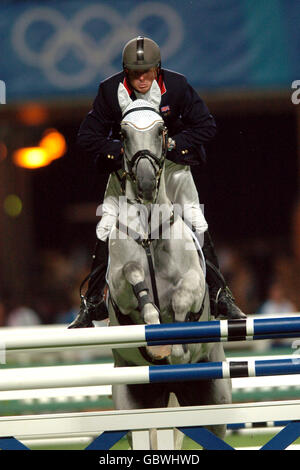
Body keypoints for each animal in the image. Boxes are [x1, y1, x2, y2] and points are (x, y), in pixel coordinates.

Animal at [104, 80, 231, 448]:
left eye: (161, 130)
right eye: (122, 132)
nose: (146, 183)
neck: (150, 227)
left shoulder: (193, 282)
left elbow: (182, 297)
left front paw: (175, 344)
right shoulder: (120, 289)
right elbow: (135, 280)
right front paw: (156, 334)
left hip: (214, 403)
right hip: (134, 403)